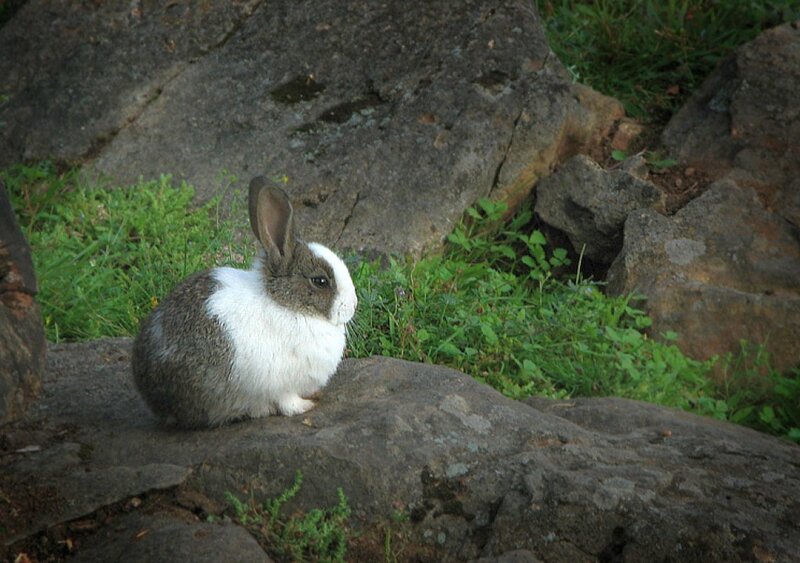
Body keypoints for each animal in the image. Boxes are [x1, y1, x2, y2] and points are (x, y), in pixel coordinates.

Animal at [132, 176, 357, 428]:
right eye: (320, 281)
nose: (354, 304)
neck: (287, 304)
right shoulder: (279, 383)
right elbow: (287, 401)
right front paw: (304, 406)